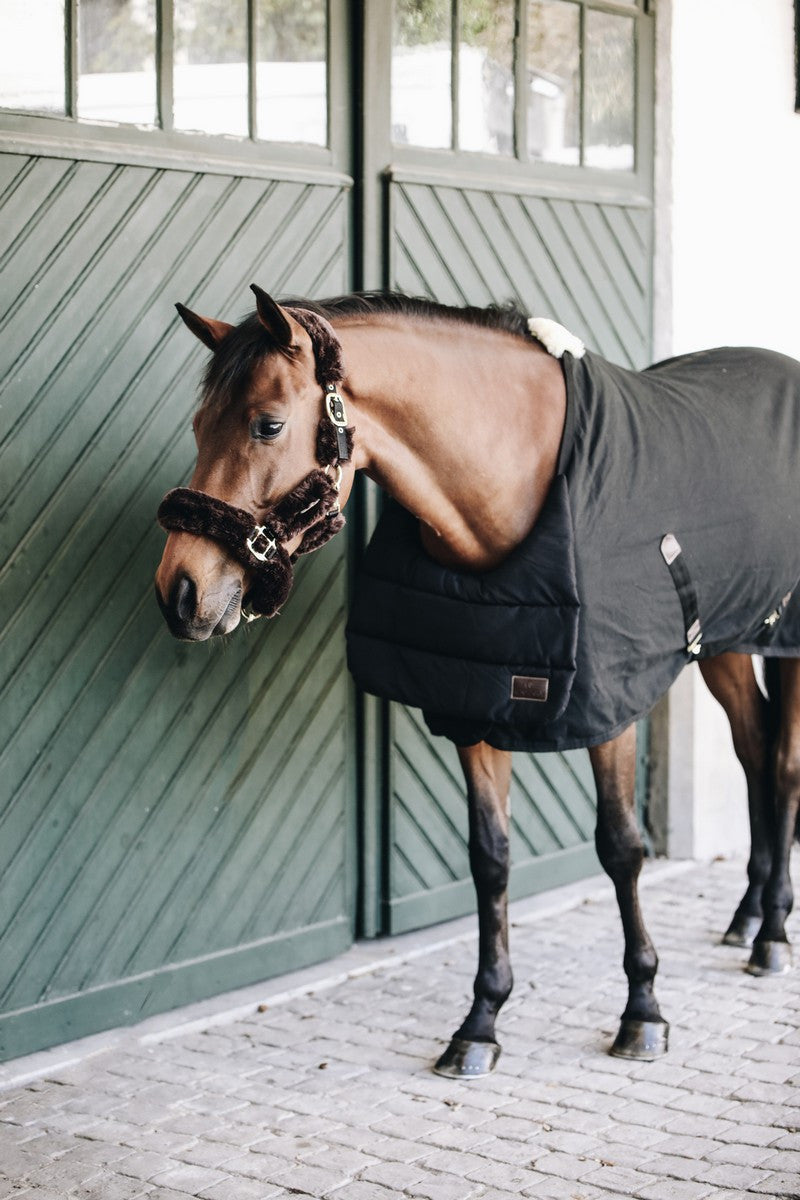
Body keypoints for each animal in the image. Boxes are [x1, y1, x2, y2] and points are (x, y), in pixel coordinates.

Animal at [155, 286, 800, 1079]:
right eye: (198, 424)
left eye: (266, 423)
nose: (180, 593)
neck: (514, 484)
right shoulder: (474, 705)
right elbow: (489, 860)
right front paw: (481, 1021)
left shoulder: (608, 712)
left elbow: (621, 849)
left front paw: (643, 1009)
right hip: (726, 644)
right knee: (754, 751)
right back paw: (748, 916)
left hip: (786, 642)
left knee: (783, 764)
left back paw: (772, 934)